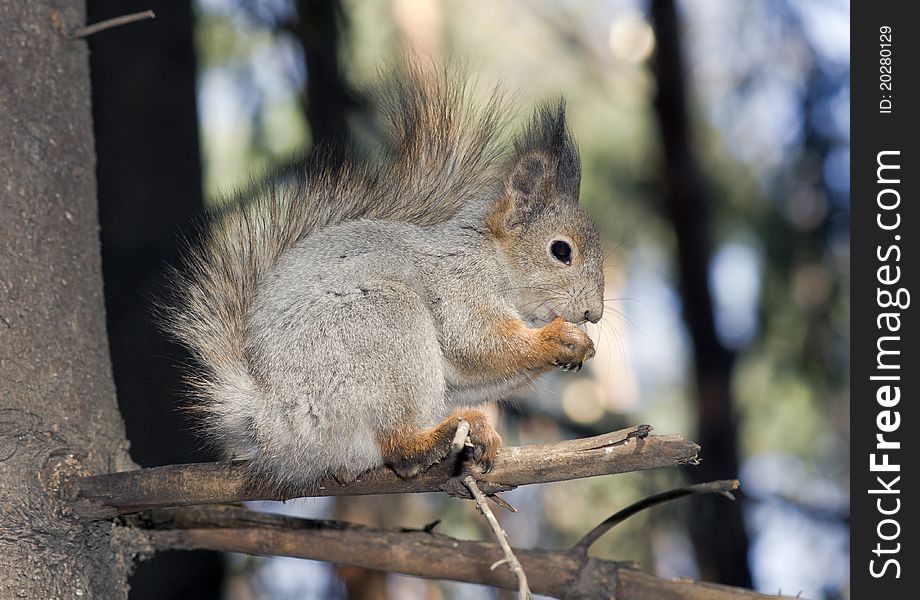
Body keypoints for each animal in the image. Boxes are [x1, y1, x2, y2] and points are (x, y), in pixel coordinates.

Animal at [167, 67, 604, 488]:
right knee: (399, 447)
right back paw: (439, 437)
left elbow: (475, 372)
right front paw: (559, 338)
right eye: (561, 250)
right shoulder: (459, 282)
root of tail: (270, 423)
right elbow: (477, 343)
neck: (494, 258)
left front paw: (574, 349)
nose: (594, 314)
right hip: (382, 324)